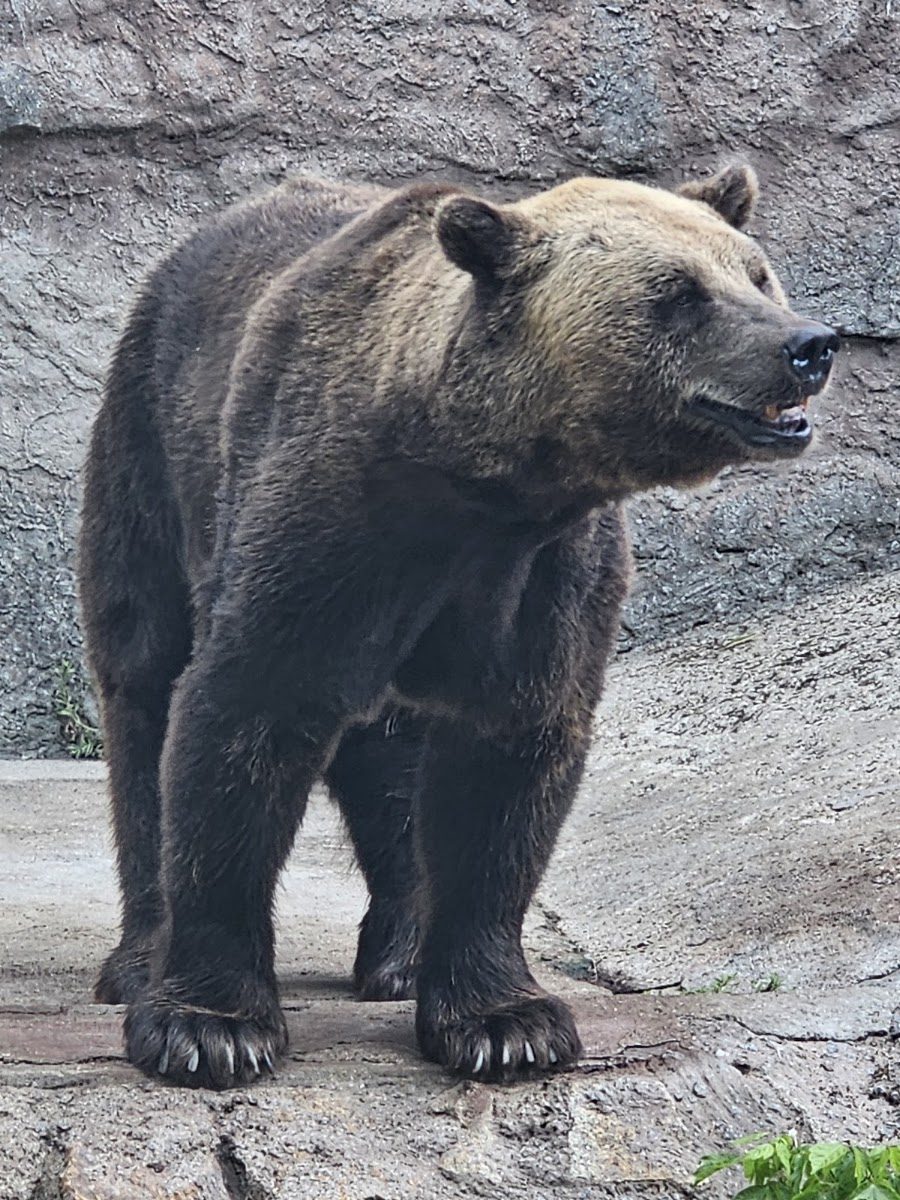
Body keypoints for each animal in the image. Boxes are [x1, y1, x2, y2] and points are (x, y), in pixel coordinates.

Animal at [78, 163, 838, 1089]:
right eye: (678, 293)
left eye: (756, 275)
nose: (809, 344)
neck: (480, 491)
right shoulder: (326, 528)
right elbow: (241, 720)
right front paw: (210, 1028)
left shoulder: (545, 576)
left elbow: (506, 767)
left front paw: (506, 1021)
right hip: (149, 451)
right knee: (144, 688)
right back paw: (139, 957)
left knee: (390, 761)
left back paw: (400, 953)